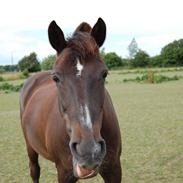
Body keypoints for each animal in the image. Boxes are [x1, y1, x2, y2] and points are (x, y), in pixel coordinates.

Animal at [20, 17, 121, 183]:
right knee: (34, 170)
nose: (89, 151)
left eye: (104, 73)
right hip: (30, 146)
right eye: (56, 77)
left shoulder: (114, 169)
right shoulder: (64, 172)